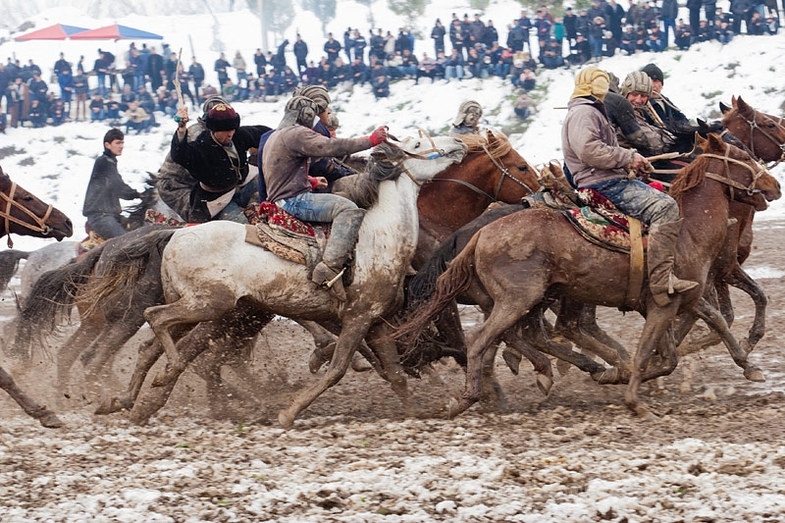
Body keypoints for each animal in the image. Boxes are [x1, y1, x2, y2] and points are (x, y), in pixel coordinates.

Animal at [396, 133, 780, 420]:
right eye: (743, 157)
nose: (774, 185)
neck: (688, 229)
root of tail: (478, 234)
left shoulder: (683, 299)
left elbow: (707, 329)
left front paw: (749, 366)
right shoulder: (665, 303)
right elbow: (652, 351)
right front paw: (633, 398)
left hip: (531, 301)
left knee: (521, 336)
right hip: (520, 300)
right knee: (487, 339)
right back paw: (470, 397)